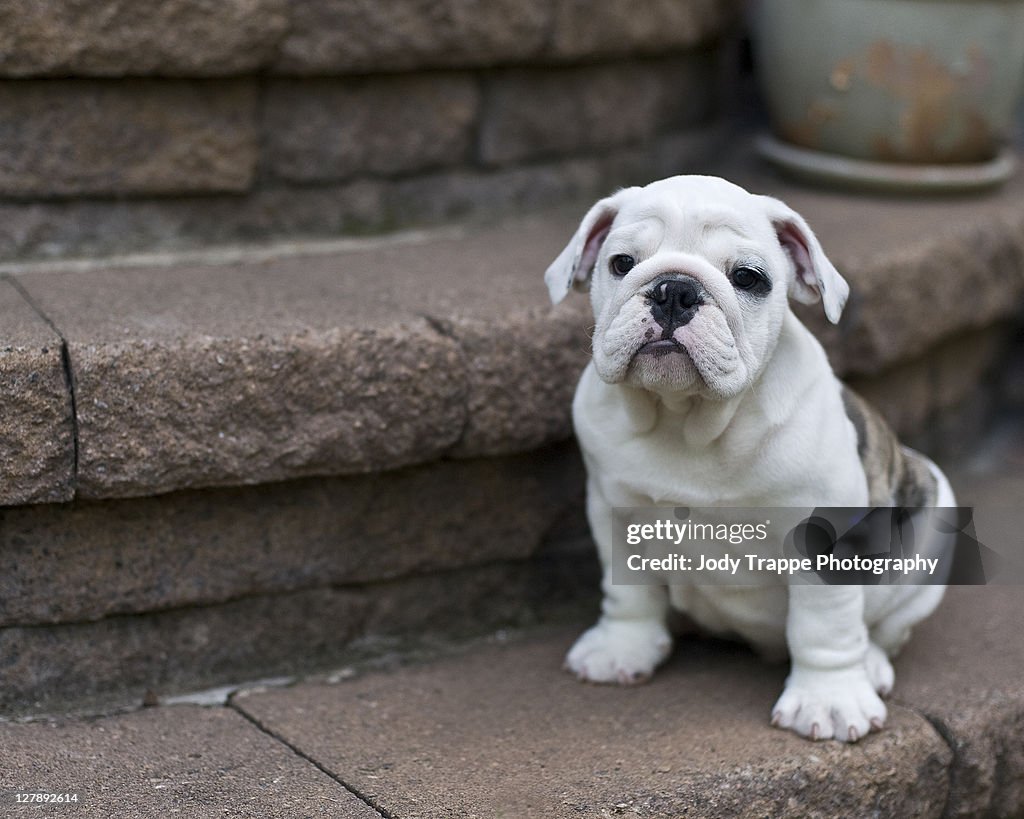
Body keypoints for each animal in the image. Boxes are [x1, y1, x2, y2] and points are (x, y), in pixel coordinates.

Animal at [548, 174, 954, 741]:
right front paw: (621, 647)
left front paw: (828, 699)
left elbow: (824, 622)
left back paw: (869, 665)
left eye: (747, 277)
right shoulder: (613, 509)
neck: (686, 419)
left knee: (882, 629)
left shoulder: (824, 536)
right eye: (622, 263)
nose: (674, 289)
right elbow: (628, 589)